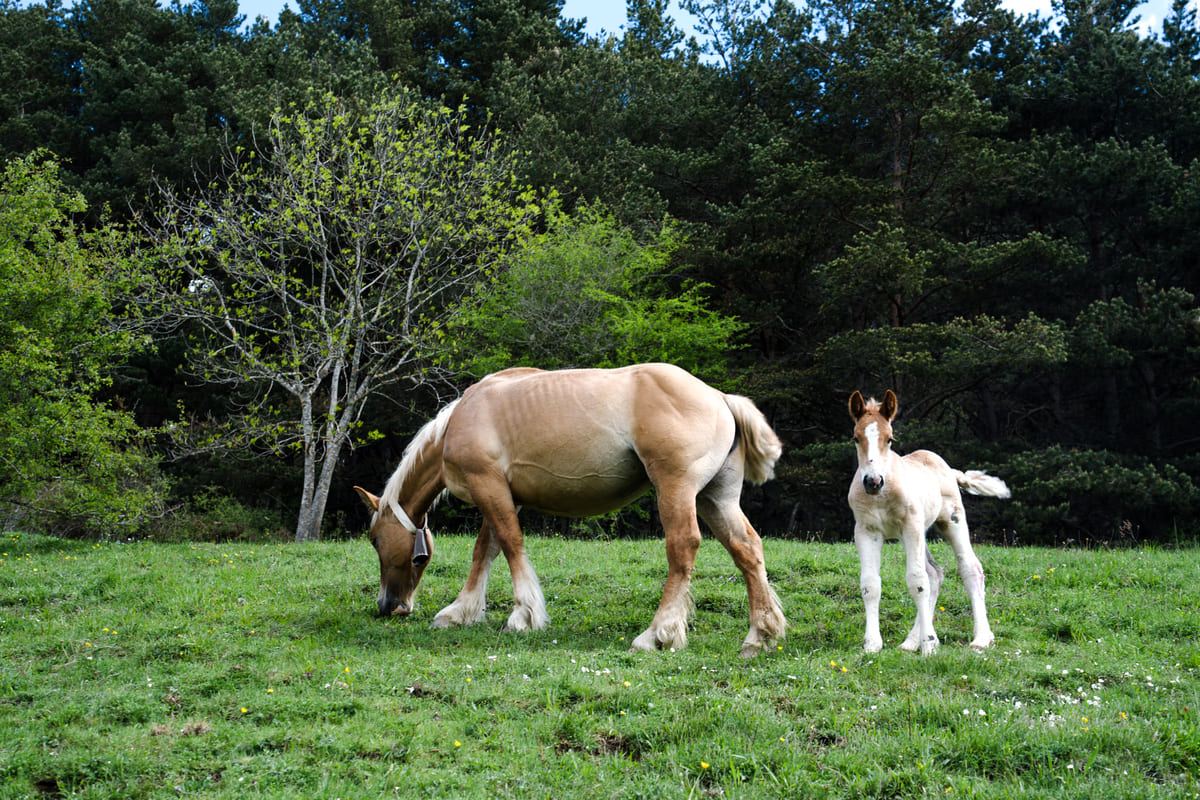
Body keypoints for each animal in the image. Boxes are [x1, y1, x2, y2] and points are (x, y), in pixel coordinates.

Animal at [355, 362, 787, 657]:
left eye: (374, 539)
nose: (389, 607)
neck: (463, 417)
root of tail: (720, 398)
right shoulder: (499, 493)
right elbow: (485, 551)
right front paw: (461, 611)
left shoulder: (487, 486)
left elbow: (510, 544)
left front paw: (524, 615)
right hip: (716, 498)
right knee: (747, 550)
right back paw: (760, 635)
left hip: (676, 489)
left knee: (683, 548)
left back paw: (657, 634)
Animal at [849, 388, 1008, 657]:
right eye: (856, 438)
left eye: (889, 439)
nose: (873, 481)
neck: (884, 493)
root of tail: (949, 470)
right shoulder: (866, 531)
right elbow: (870, 584)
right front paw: (872, 644)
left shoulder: (910, 526)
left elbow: (916, 581)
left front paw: (929, 646)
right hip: (915, 535)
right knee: (935, 573)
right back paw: (912, 641)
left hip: (950, 521)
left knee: (969, 568)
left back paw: (981, 638)